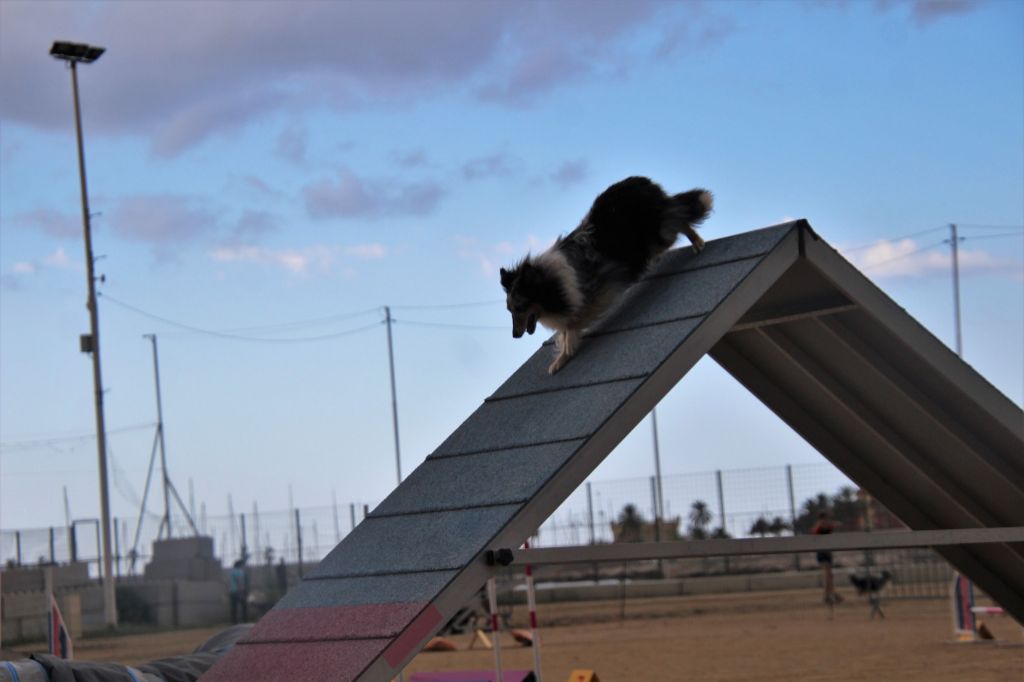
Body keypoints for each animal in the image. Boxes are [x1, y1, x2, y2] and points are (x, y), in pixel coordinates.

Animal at [501, 176, 712, 372]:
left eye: (520, 308)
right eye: (510, 310)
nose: (514, 335)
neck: (552, 283)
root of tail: (641, 181)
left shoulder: (596, 291)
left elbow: (571, 324)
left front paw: (566, 350)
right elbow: (565, 328)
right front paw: (560, 358)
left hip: (657, 234)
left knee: (679, 218)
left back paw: (697, 242)